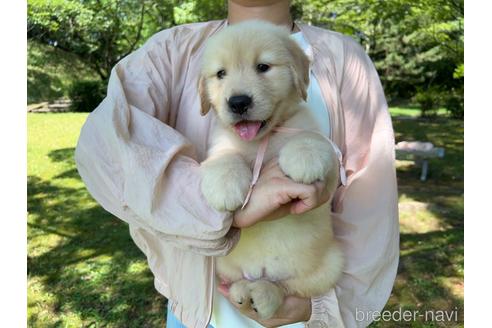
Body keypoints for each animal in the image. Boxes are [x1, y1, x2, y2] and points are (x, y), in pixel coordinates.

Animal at [198, 21, 344, 320]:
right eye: (220, 73)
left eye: (263, 67)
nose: (238, 102)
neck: (260, 141)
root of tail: (261, 271)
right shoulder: (221, 143)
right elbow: (225, 157)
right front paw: (225, 185)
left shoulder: (305, 127)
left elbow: (312, 138)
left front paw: (305, 157)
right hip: (223, 264)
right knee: (241, 279)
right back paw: (243, 291)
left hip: (330, 266)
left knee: (288, 288)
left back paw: (265, 295)